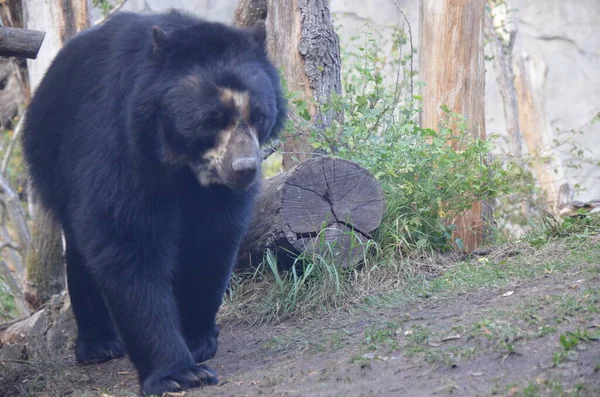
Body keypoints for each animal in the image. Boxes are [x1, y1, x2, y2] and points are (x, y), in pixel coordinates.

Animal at [21, 10, 288, 396]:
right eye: (211, 120)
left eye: (259, 116)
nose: (245, 169)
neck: (181, 162)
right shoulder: (120, 147)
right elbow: (127, 243)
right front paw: (181, 373)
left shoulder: (217, 195)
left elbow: (212, 242)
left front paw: (198, 340)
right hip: (52, 158)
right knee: (81, 251)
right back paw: (99, 345)